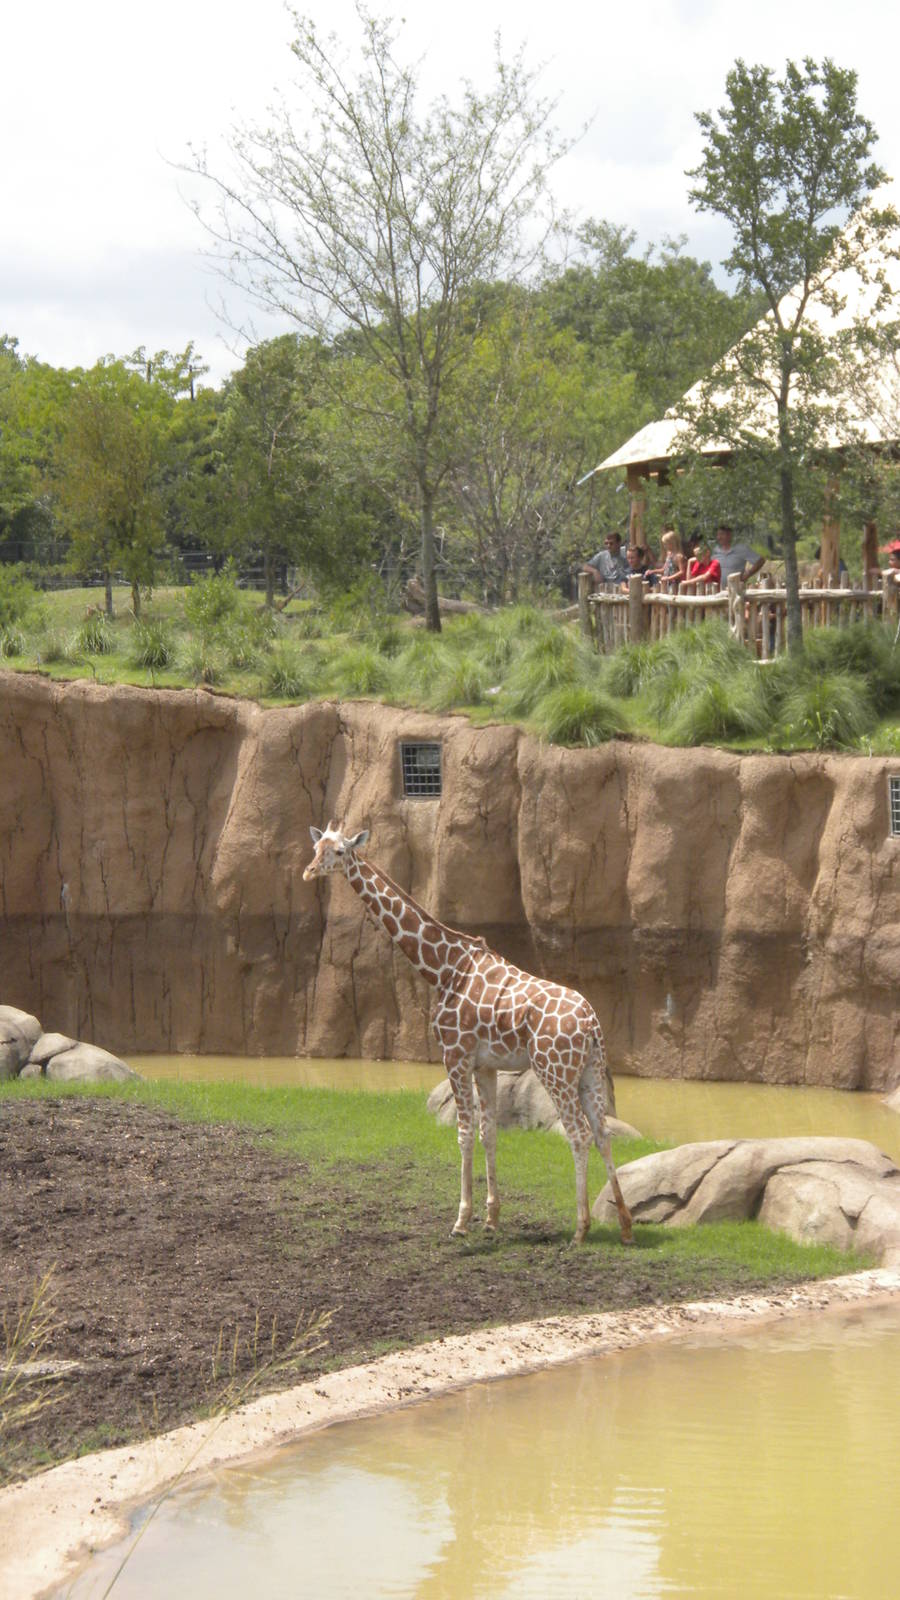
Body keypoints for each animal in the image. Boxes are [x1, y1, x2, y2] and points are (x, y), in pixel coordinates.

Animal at [303, 822, 634, 1247]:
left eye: (341, 852)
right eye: (317, 847)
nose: (310, 871)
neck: (445, 968)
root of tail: (592, 1022)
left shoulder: (455, 1055)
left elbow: (463, 1133)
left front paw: (461, 1221)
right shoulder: (485, 1065)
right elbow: (488, 1132)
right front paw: (491, 1219)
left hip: (554, 1071)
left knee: (578, 1133)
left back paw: (580, 1229)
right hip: (590, 1070)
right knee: (603, 1132)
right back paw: (625, 1227)